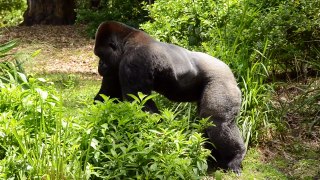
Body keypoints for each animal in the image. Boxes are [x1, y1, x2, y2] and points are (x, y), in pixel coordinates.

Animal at [94, 21, 246, 174]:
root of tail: (231, 73)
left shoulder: (132, 61)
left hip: (221, 81)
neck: (126, 41)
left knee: (217, 123)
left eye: (101, 55)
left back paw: (236, 156)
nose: (99, 65)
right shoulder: (115, 67)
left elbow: (141, 106)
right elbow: (107, 96)